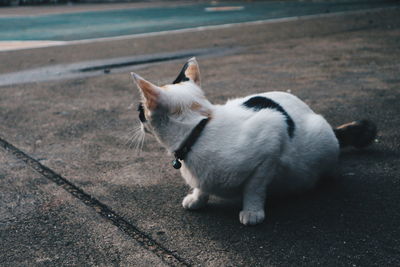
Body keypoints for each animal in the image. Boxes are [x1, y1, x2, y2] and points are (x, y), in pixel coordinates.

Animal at [130, 57, 376, 226]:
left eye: (140, 111)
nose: (138, 119)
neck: (199, 129)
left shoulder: (271, 139)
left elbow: (254, 187)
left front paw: (252, 210)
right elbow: (201, 186)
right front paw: (198, 198)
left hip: (322, 140)